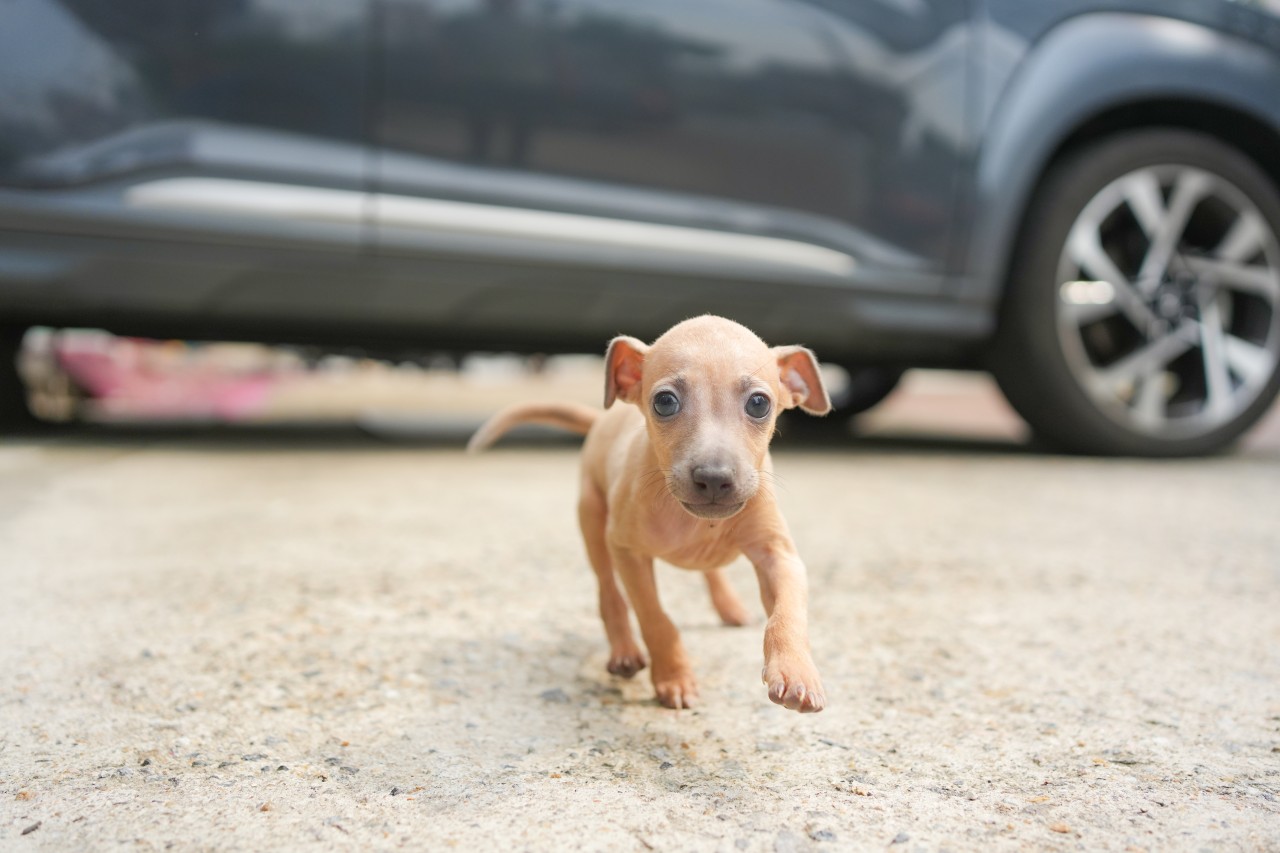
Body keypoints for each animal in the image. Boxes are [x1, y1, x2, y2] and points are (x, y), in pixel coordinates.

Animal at [468, 315, 831, 712]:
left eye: (759, 403)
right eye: (665, 402)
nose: (714, 478)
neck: (694, 522)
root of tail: (603, 420)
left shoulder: (778, 554)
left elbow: (787, 613)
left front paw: (796, 671)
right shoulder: (628, 552)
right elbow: (655, 618)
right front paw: (673, 677)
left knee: (710, 571)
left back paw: (729, 606)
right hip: (593, 524)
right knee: (608, 592)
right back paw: (624, 651)